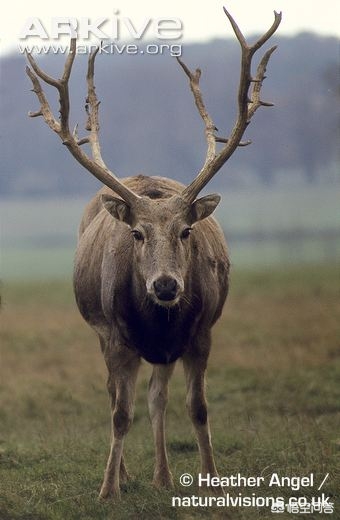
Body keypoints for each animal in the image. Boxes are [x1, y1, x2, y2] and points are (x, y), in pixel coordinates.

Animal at [25, 6, 282, 498]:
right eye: (138, 234)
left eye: (186, 231)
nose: (165, 286)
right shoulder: (116, 335)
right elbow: (119, 412)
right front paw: (108, 488)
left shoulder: (201, 333)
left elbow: (196, 407)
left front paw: (212, 479)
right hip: (103, 331)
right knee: (116, 394)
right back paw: (128, 473)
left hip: (166, 350)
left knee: (156, 397)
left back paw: (162, 476)